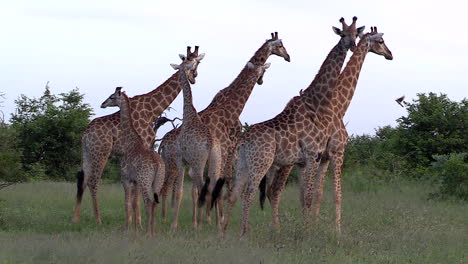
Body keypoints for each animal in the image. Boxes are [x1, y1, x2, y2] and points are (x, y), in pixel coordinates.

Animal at [98, 87, 165, 235]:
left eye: (112, 97)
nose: (102, 104)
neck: (131, 141)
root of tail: (157, 163)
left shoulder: (126, 179)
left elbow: (127, 203)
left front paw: (127, 229)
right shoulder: (136, 181)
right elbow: (135, 203)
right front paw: (135, 229)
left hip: (145, 181)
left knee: (148, 202)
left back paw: (148, 232)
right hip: (157, 181)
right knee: (155, 203)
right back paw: (153, 231)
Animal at [159, 33, 290, 227]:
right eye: (280, 45)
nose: (288, 57)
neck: (231, 106)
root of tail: (162, 143)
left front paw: (208, 219)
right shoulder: (228, 148)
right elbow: (222, 183)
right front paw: (215, 219)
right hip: (175, 162)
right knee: (170, 187)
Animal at [221, 17, 368, 236]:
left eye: (355, 34)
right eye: (342, 34)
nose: (351, 45)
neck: (317, 104)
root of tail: (244, 141)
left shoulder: (306, 160)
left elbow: (306, 197)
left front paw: (307, 228)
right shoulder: (314, 155)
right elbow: (308, 197)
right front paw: (309, 232)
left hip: (243, 163)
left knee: (234, 193)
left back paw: (223, 233)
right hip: (261, 163)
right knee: (249, 193)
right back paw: (244, 234)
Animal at [266, 26, 394, 233]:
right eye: (381, 42)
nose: (390, 54)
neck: (338, 105)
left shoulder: (323, 157)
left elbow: (317, 195)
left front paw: (315, 226)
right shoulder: (336, 152)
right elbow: (336, 194)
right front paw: (337, 232)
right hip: (286, 162)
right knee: (275, 190)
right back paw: (277, 229)